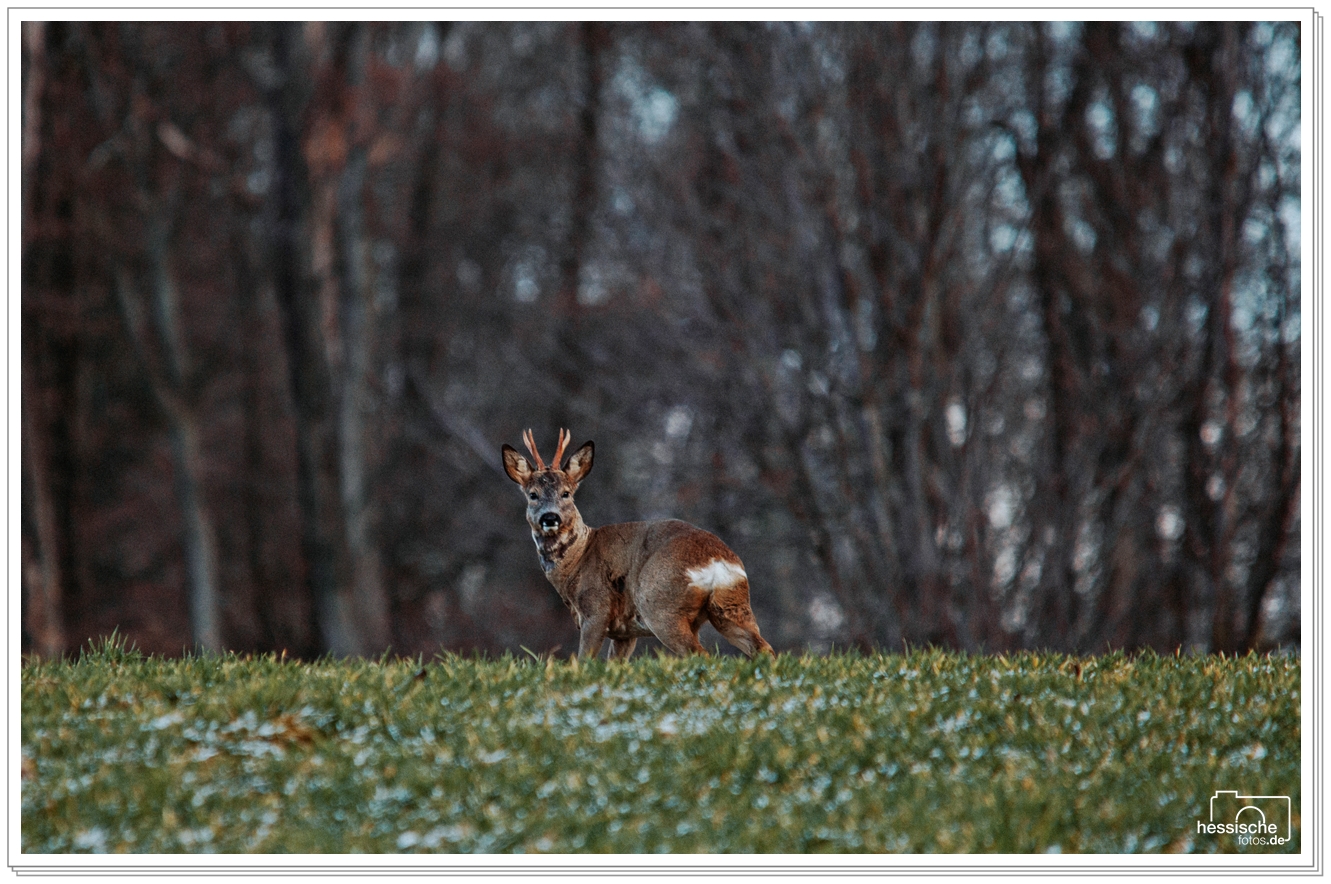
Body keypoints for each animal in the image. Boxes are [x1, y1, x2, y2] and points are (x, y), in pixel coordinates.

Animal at [500, 428, 777, 655]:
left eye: (566, 493)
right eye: (533, 494)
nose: (550, 517)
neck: (576, 562)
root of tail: (716, 562)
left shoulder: (596, 610)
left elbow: (584, 660)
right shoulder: (624, 632)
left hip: (661, 607)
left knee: (700, 653)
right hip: (732, 605)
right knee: (763, 648)